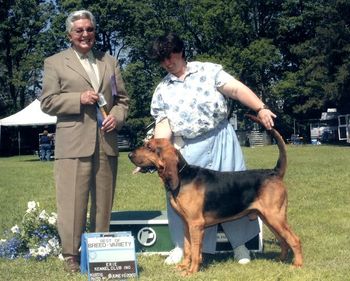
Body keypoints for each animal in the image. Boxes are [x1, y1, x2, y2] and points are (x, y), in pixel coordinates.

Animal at [127, 114, 302, 276]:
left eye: (149, 147)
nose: (129, 155)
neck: (183, 176)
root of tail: (274, 172)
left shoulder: (196, 224)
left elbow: (195, 251)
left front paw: (191, 271)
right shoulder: (186, 224)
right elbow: (188, 248)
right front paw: (184, 266)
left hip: (275, 217)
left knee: (294, 240)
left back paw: (297, 265)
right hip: (269, 219)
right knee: (284, 241)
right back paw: (280, 260)